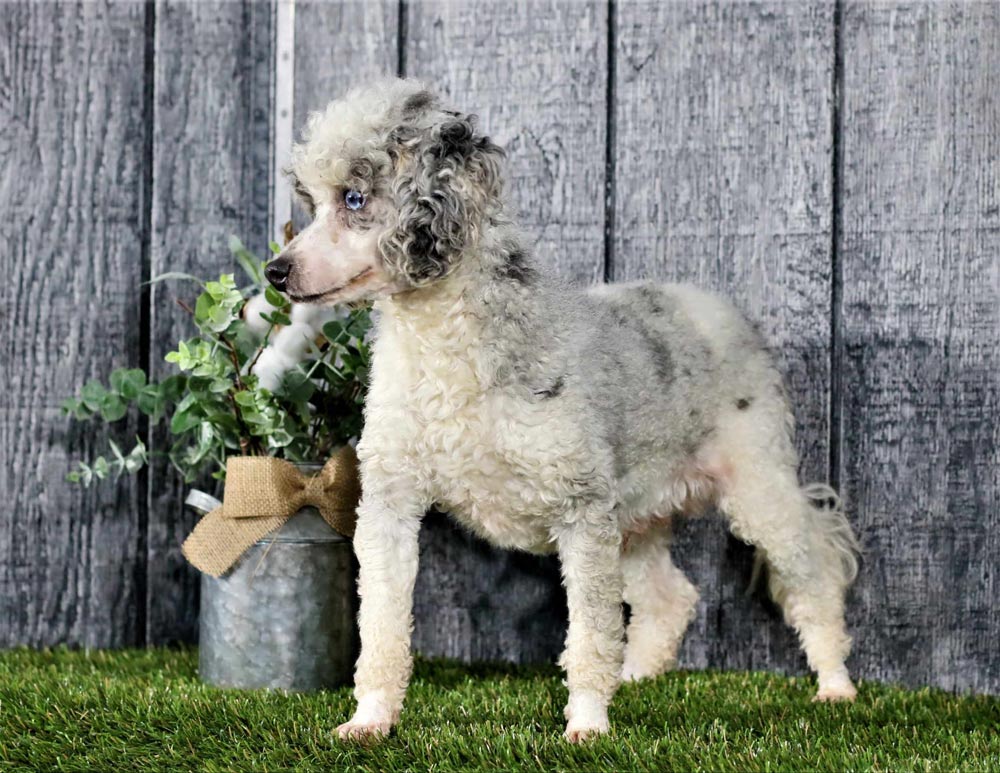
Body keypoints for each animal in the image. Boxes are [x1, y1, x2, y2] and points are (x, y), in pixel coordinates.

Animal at [265, 78, 861, 742]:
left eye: (354, 197)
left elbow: (590, 633)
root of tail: (718, 309)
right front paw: (368, 720)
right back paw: (637, 677)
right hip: (634, 517)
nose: (276, 271)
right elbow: (383, 627)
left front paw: (589, 725)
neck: (449, 355)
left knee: (814, 576)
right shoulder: (390, 501)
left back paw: (835, 685)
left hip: (758, 484)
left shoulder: (581, 507)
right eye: (313, 202)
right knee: (671, 597)